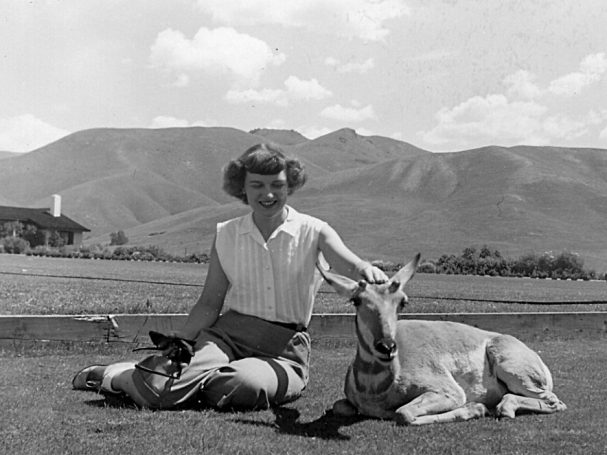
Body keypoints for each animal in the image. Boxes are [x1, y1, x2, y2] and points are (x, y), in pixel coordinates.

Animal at [321, 254, 566, 425]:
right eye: (356, 300)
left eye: (403, 302)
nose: (387, 347)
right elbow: (339, 406)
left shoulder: (449, 392)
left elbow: (403, 413)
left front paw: (475, 409)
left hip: (511, 368)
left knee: (554, 401)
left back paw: (504, 407)